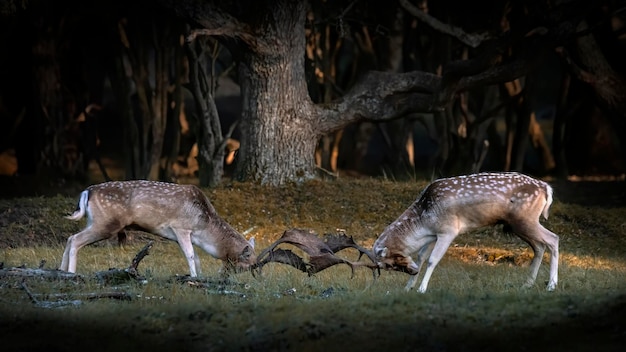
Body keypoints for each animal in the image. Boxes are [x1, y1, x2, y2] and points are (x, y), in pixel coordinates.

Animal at [58, 182, 254, 276]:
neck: (203, 226)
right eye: (247, 261)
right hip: (106, 223)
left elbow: (197, 257)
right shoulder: (180, 227)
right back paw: (71, 273)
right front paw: (194, 278)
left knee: (70, 237)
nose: (225, 276)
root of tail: (86, 192)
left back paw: (60, 271)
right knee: (75, 239)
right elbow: (191, 255)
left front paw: (199, 276)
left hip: (93, 221)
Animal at [372, 173, 560, 292]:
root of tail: (546, 188)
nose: (413, 271)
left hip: (525, 220)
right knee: (539, 246)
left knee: (553, 238)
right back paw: (527, 284)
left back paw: (551, 285)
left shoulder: (448, 229)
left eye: (388, 264)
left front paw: (421, 289)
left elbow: (433, 260)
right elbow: (421, 256)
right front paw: (408, 287)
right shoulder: (434, 234)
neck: (424, 220)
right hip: (518, 225)